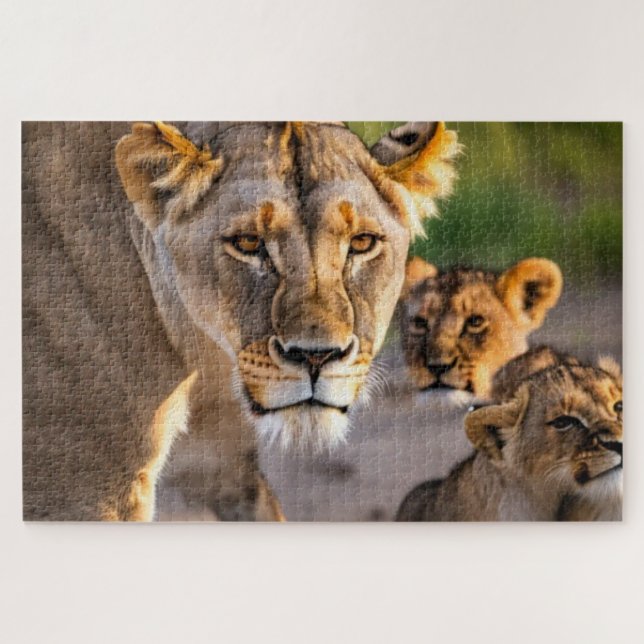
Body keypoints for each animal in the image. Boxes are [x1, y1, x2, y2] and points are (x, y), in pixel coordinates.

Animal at [23, 120, 460, 520]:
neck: (201, 355)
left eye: (362, 242)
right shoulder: (83, 487)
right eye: (248, 243)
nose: (316, 357)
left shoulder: (223, 462)